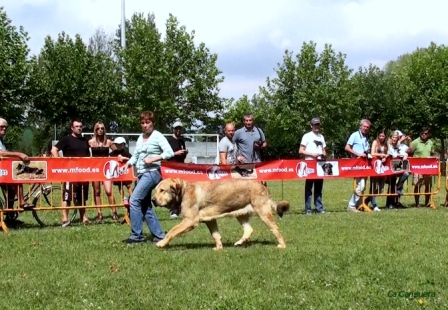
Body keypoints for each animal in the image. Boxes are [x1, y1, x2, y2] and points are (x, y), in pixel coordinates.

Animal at [151, 178, 290, 251]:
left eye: (162, 190)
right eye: (155, 190)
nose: (152, 200)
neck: (183, 192)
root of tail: (263, 186)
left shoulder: (190, 220)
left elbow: (172, 231)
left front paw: (162, 243)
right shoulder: (210, 220)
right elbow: (216, 235)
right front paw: (218, 248)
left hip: (263, 212)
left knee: (275, 228)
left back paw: (282, 245)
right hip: (240, 214)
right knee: (249, 230)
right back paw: (239, 242)